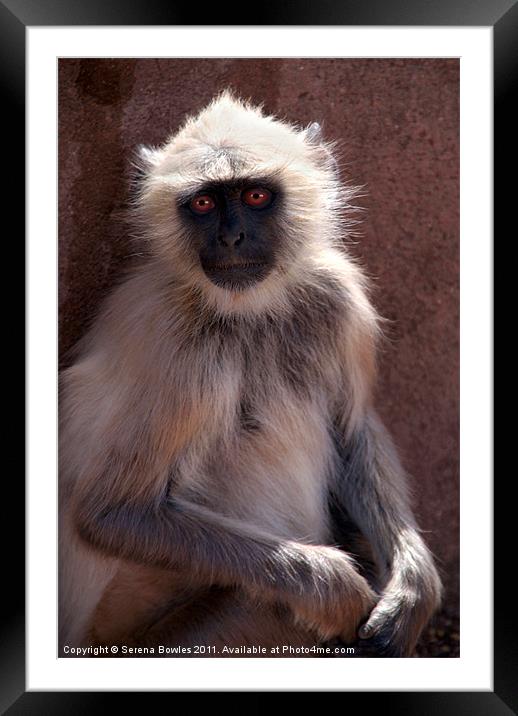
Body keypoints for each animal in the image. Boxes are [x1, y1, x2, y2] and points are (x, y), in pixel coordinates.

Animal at [60, 92, 442, 656]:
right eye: (203, 204)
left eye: (256, 195)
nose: (232, 238)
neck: (249, 314)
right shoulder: (176, 346)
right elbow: (112, 514)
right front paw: (336, 588)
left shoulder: (335, 293)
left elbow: (353, 431)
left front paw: (412, 590)